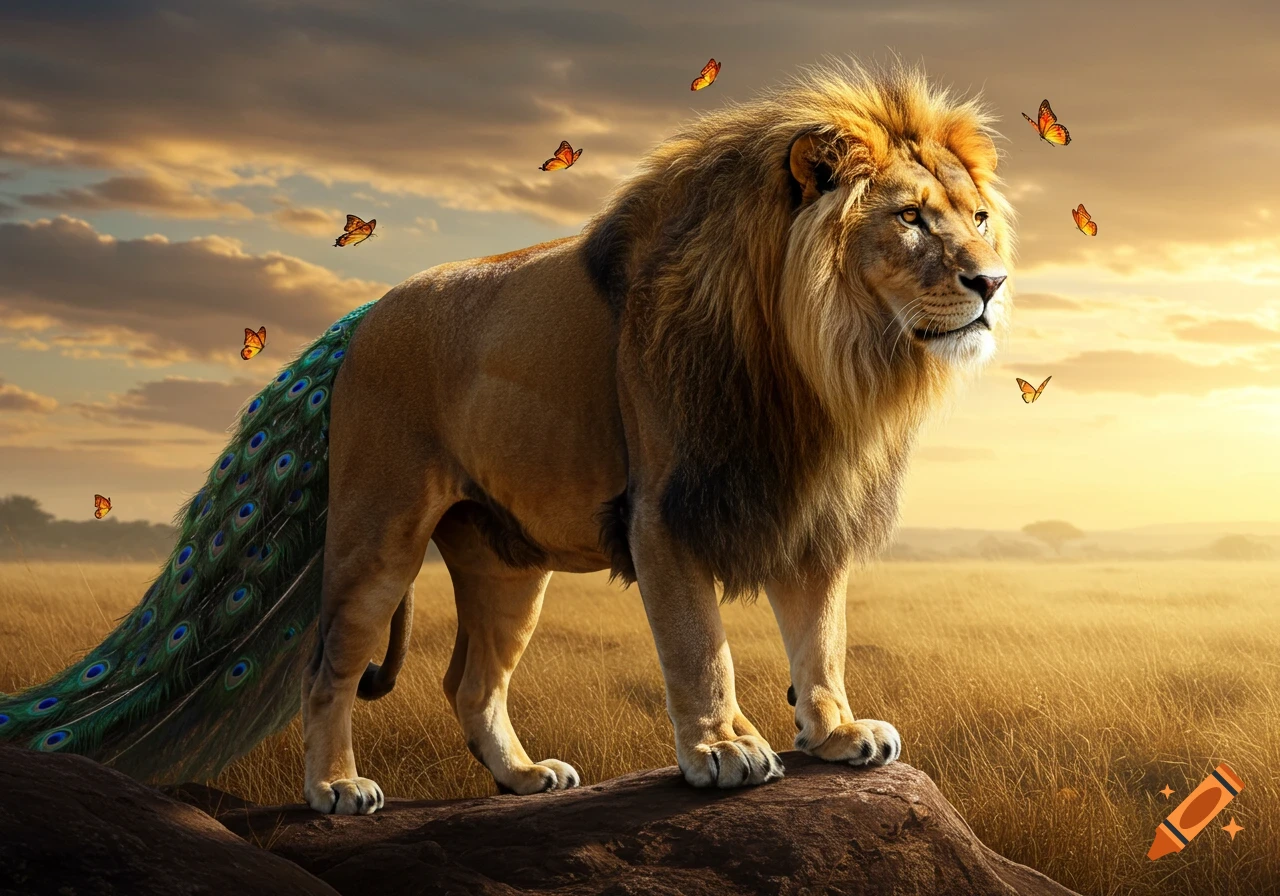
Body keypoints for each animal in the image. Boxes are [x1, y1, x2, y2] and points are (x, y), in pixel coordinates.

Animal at [294, 57, 1015, 814]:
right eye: (909, 217)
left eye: (979, 217)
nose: (993, 282)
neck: (815, 366)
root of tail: (363, 316)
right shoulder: (664, 510)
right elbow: (699, 645)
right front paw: (722, 748)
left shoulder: (807, 506)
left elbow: (823, 635)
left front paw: (837, 733)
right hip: (378, 534)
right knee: (328, 667)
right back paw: (335, 786)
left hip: (507, 561)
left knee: (472, 682)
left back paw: (523, 776)